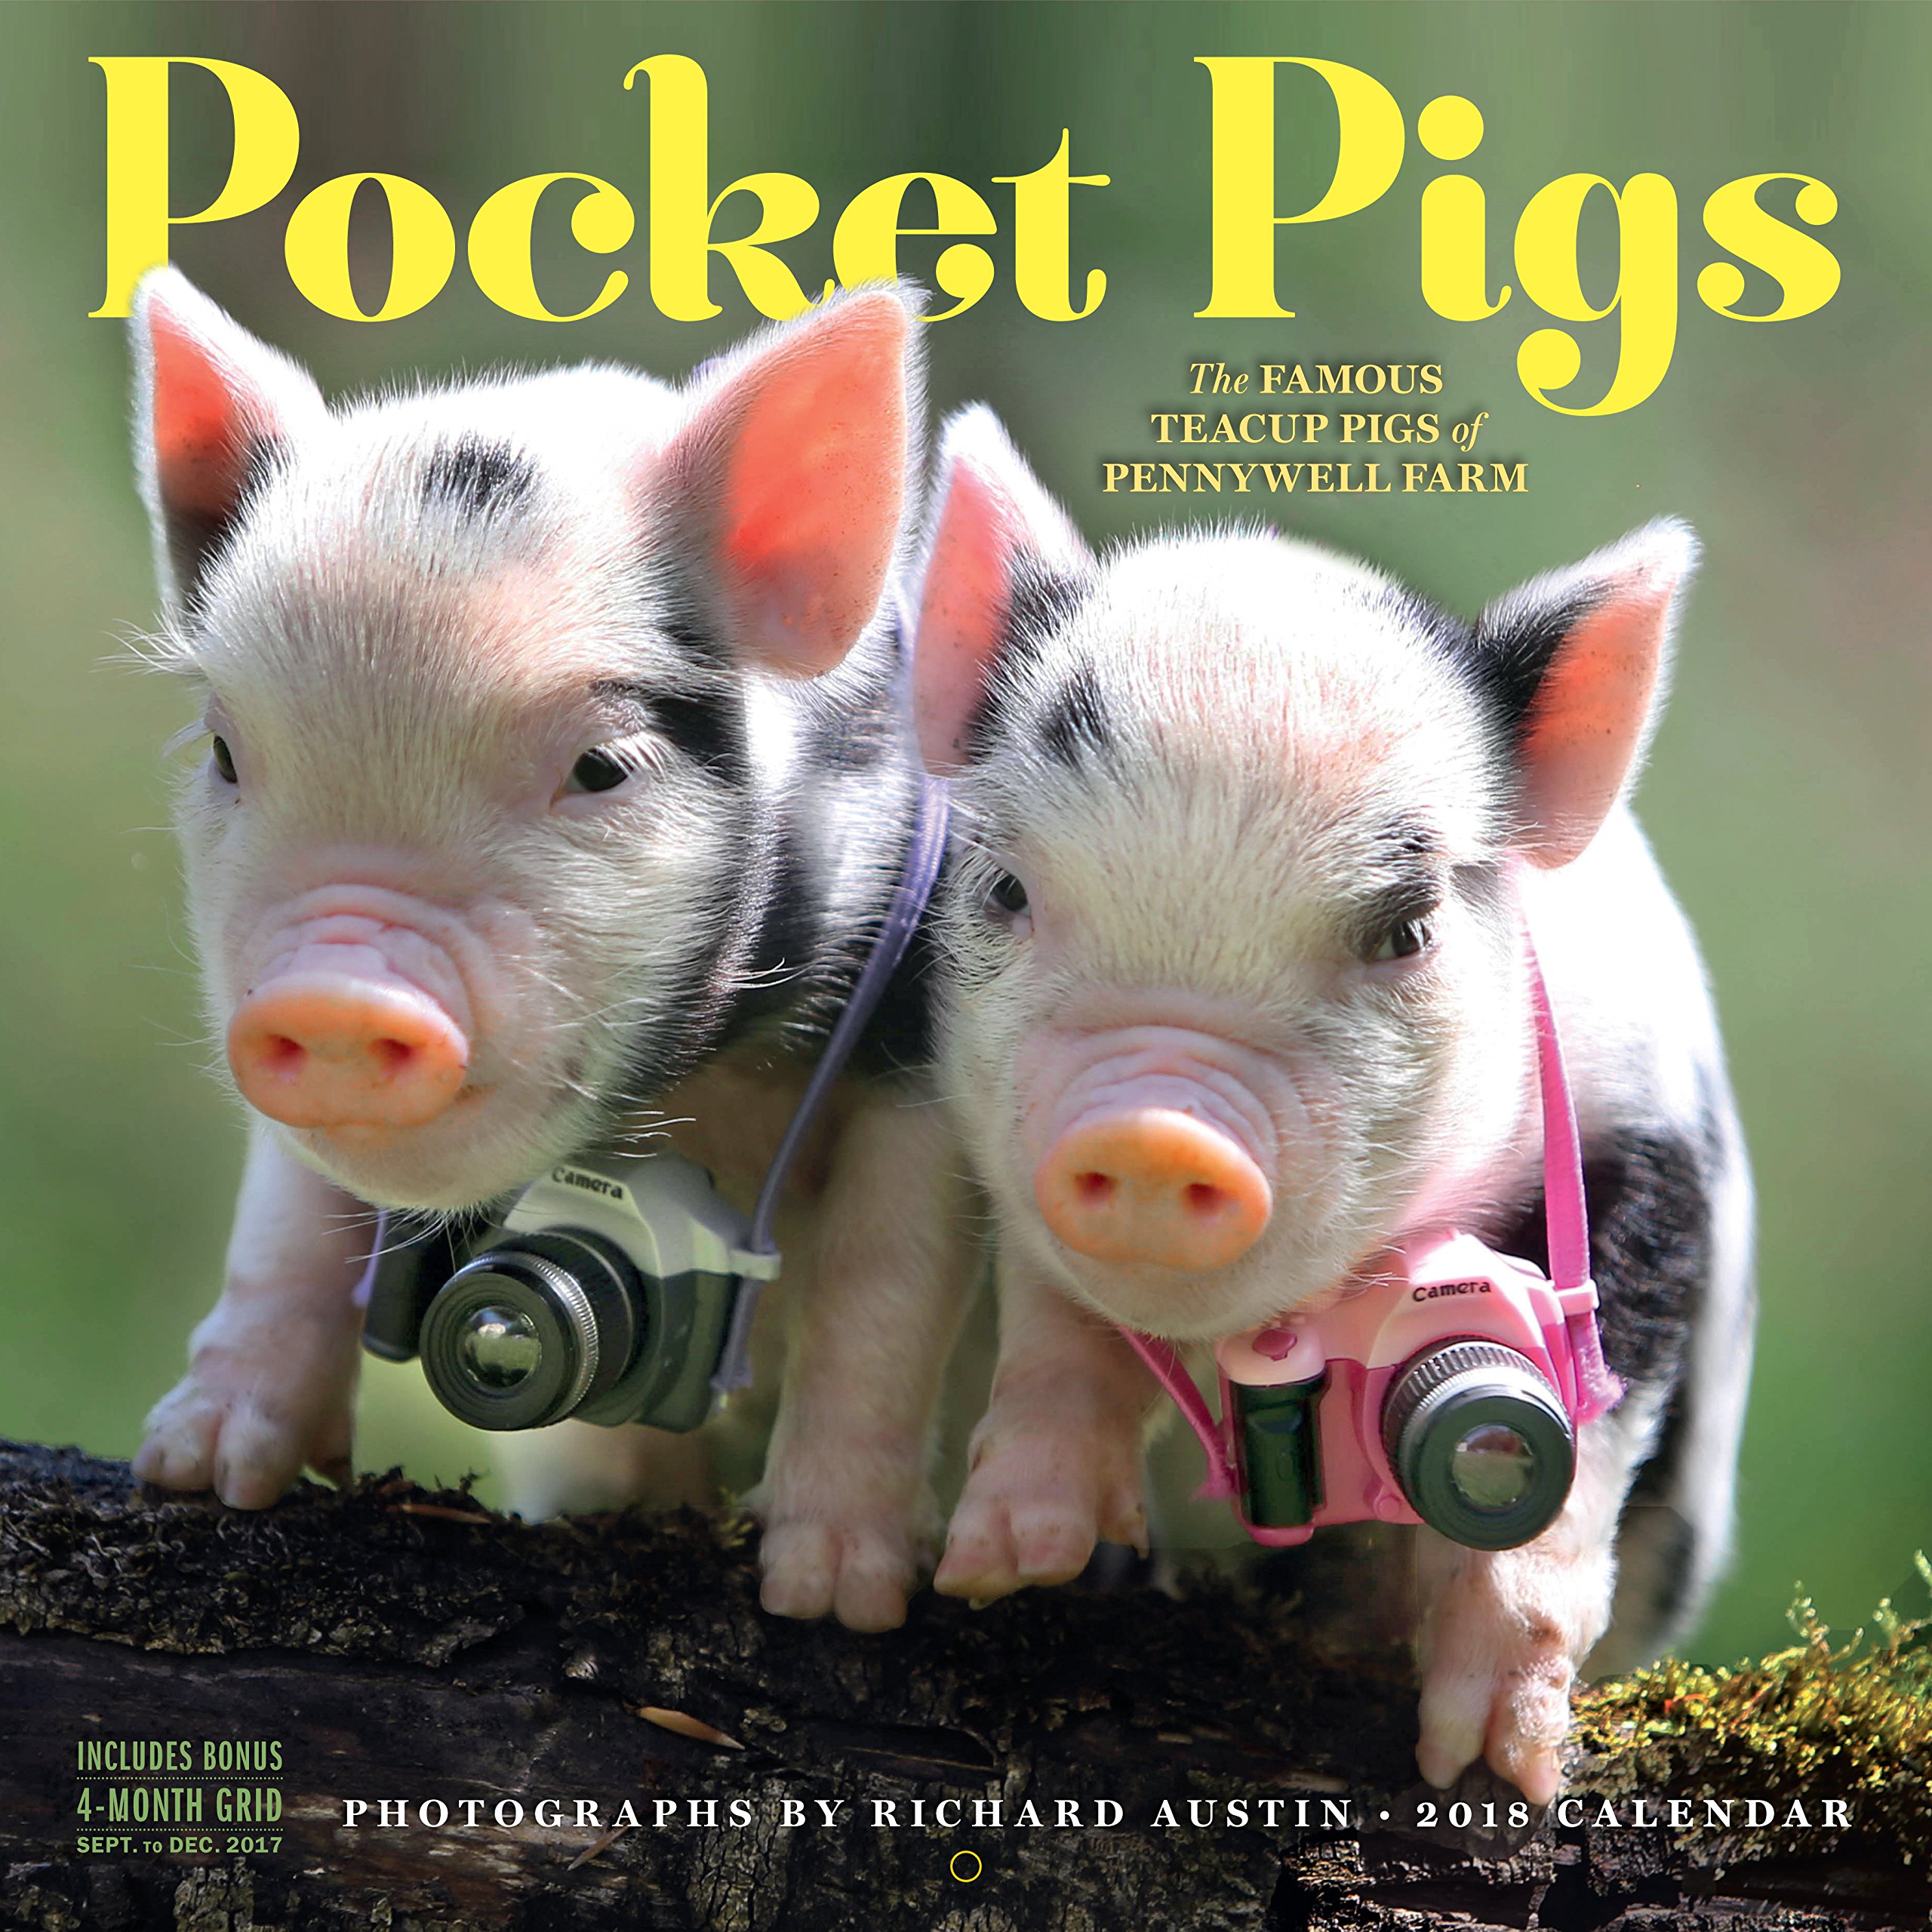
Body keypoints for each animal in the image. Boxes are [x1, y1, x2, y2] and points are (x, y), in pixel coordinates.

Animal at [123, 268, 977, 1632]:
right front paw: (195, 1471)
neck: (700, 1095)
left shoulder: (920, 1047)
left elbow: (884, 1289)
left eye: (602, 766)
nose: (340, 987)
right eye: (223, 753)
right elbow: (288, 1225)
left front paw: (834, 1597)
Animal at [910, 405, 1755, 1802]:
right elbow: (1062, 1334)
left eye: (1407, 930)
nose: (1159, 1127)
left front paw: (1495, 1767)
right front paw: (1005, 1569)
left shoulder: (1647, 1151)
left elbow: (1578, 1433)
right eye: (1006, 891)